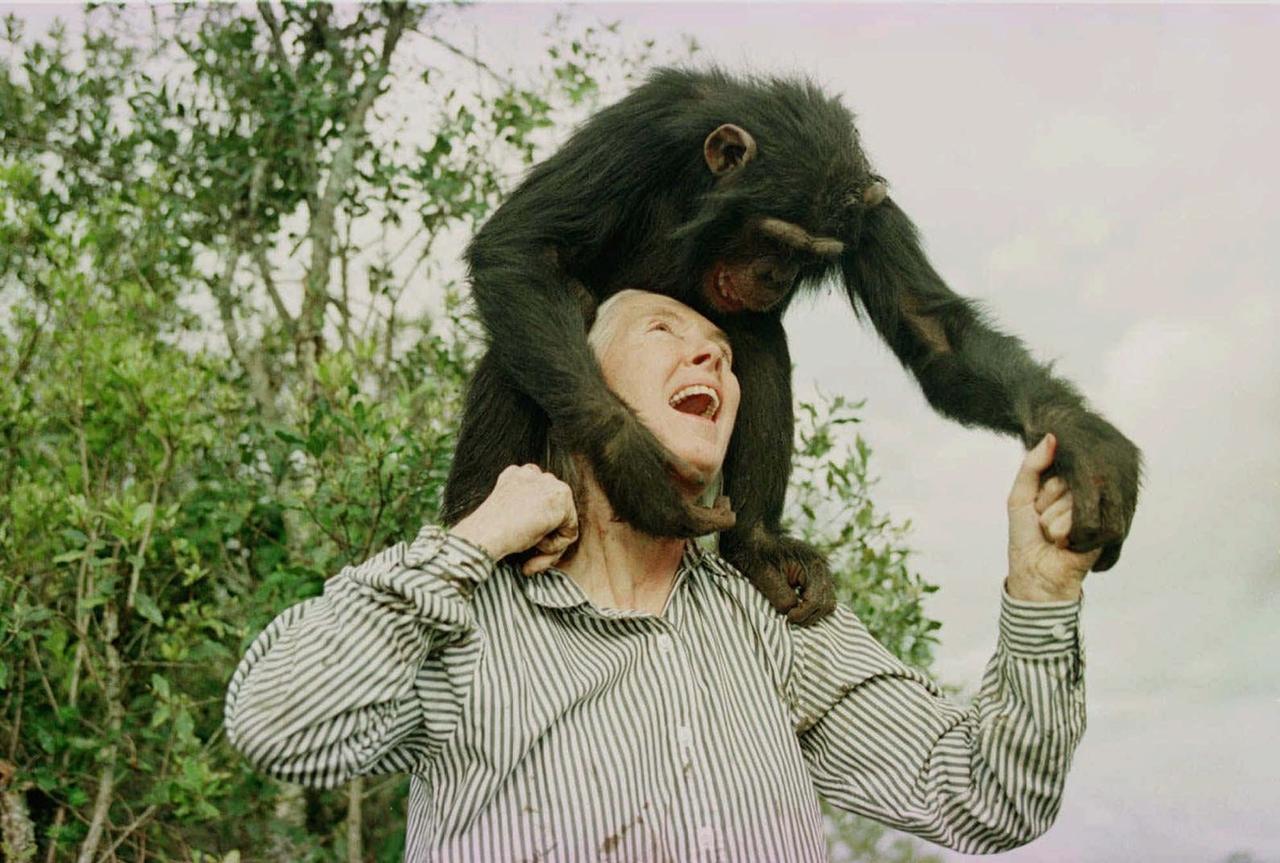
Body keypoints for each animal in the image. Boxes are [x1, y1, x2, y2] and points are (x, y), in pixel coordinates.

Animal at [440, 64, 1141, 622]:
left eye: (810, 256)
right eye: (773, 238)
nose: (774, 276)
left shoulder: (870, 215)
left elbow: (932, 330)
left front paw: (1084, 441)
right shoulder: (640, 130)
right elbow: (523, 245)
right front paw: (635, 469)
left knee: (759, 340)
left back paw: (757, 545)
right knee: (534, 332)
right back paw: (476, 519)